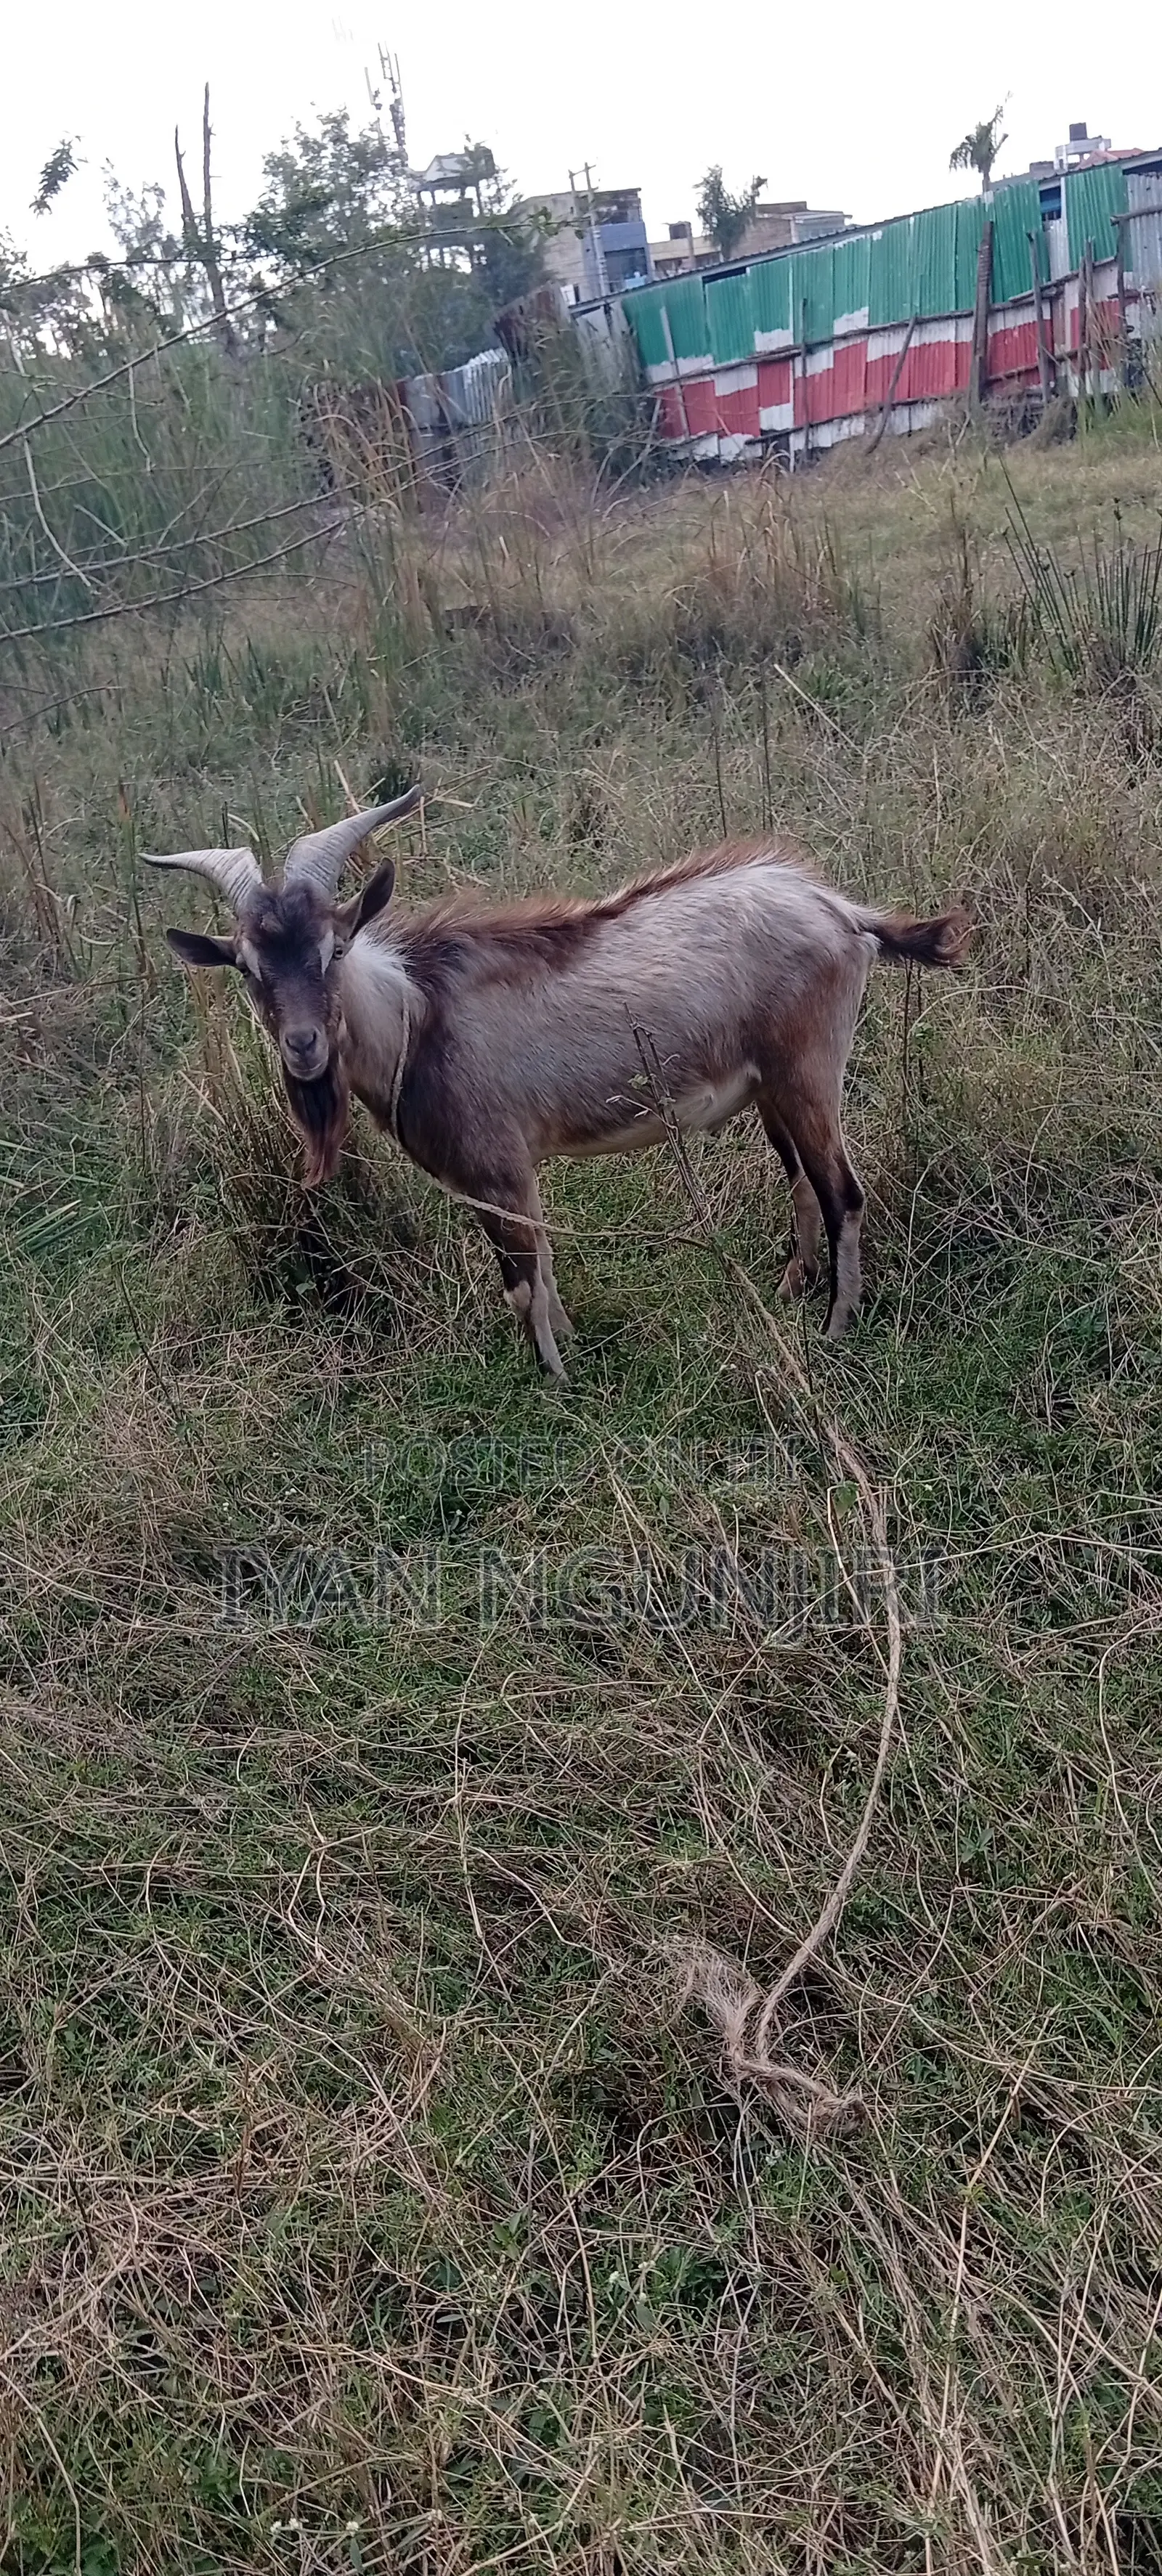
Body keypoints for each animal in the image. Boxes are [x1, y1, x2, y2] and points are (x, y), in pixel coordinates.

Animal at [146, 797, 970, 1376]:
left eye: (334, 948)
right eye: (248, 968)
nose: (304, 1048)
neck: (416, 1016)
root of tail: (842, 913)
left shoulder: (497, 1167)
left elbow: (521, 1282)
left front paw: (556, 1379)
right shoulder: (503, 1178)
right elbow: (541, 1267)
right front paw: (572, 1345)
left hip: (808, 1071)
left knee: (842, 1192)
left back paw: (836, 1327)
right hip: (772, 1088)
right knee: (798, 1175)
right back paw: (793, 1288)